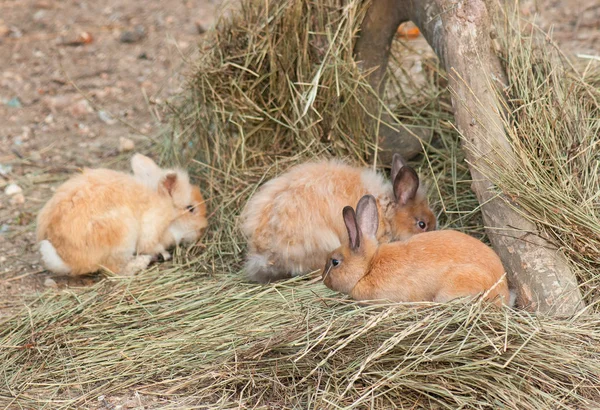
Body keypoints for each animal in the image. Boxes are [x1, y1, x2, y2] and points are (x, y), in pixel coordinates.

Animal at [37, 153, 209, 276]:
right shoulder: (150, 230)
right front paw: (164, 254)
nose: (203, 229)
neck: (164, 206)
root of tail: (66, 260)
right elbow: (152, 246)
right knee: (115, 270)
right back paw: (143, 262)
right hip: (123, 237)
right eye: (191, 208)